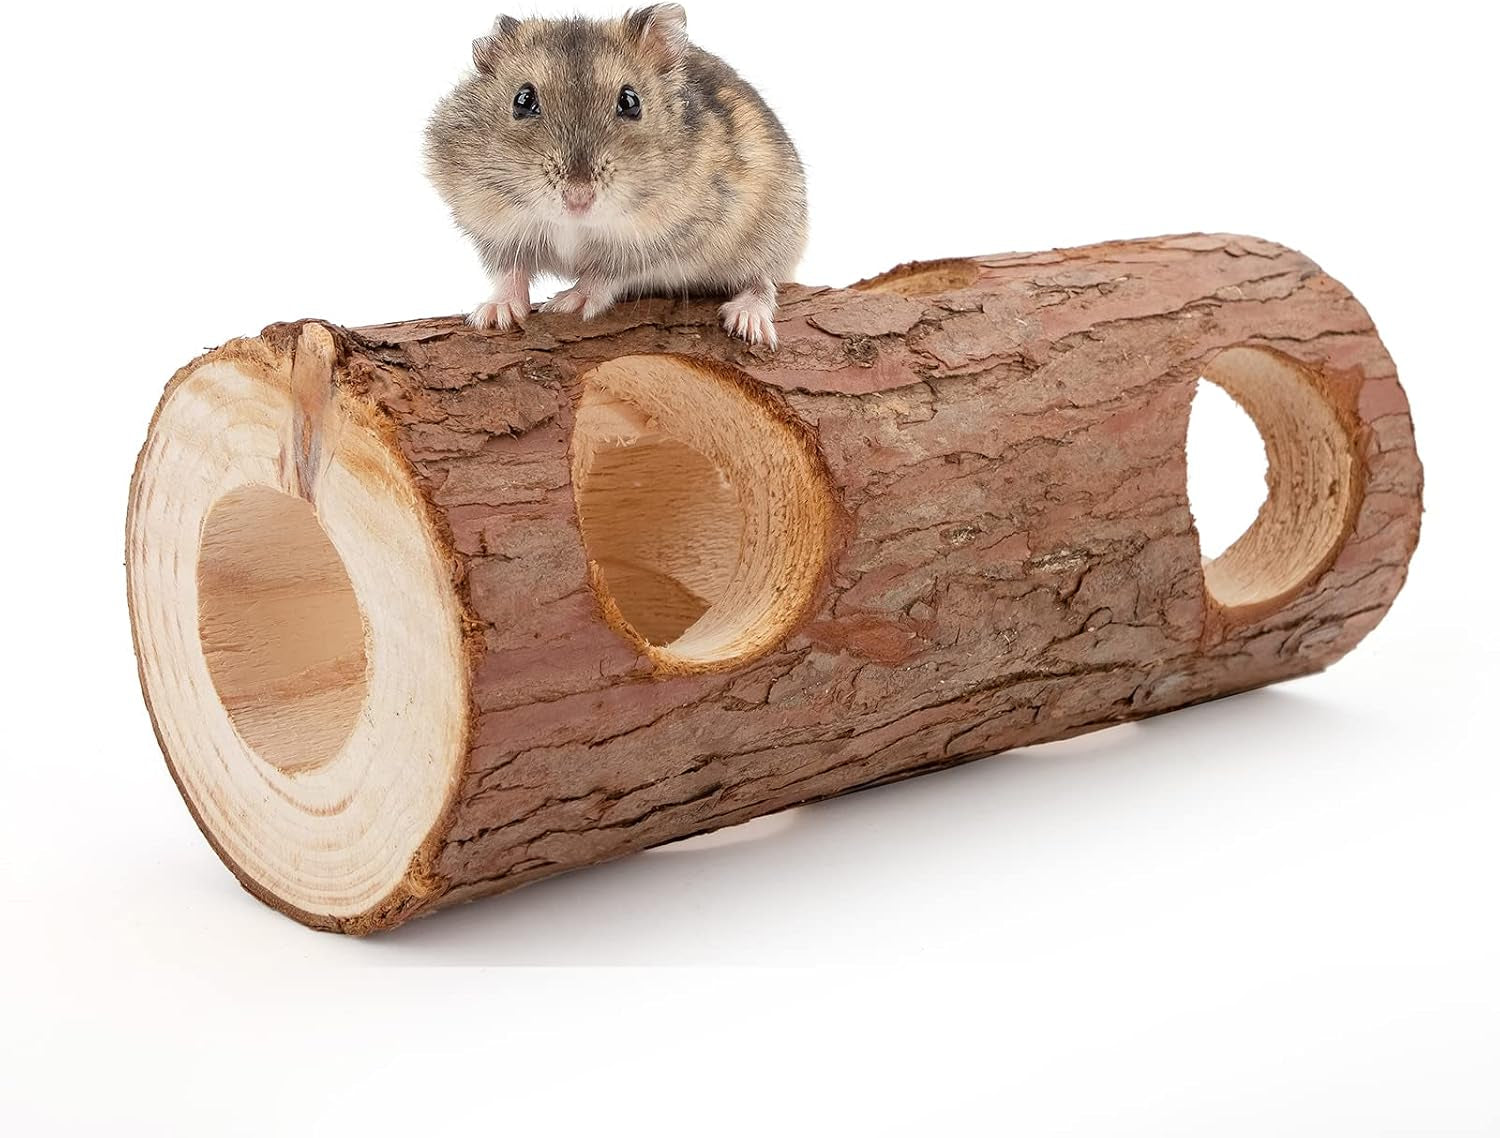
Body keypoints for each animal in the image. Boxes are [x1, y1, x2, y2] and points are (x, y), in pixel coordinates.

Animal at [424, 5, 807, 349]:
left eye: (630, 101)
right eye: (522, 100)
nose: (578, 199)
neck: (575, 224)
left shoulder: (666, 237)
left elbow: (606, 274)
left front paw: (568, 304)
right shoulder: (492, 226)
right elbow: (510, 271)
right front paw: (493, 314)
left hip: (775, 231)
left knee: (762, 280)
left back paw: (749, 321)